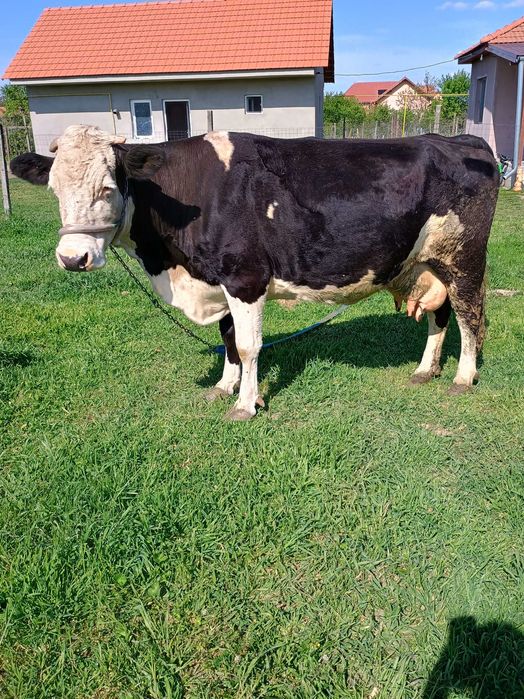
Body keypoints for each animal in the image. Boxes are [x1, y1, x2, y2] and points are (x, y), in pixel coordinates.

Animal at [11, 125, 499, 420]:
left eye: (108, 188)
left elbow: (247, 346)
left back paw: (461, 378)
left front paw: (246, 403)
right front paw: (224, 387)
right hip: (426, 263)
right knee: (440, 315)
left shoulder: (245, 278)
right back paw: (425, 370)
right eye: (54, 188)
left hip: (464, 259)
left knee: (471, 317)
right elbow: (227, 337)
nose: (73, 257)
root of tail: (458, 138)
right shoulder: (219, 281)